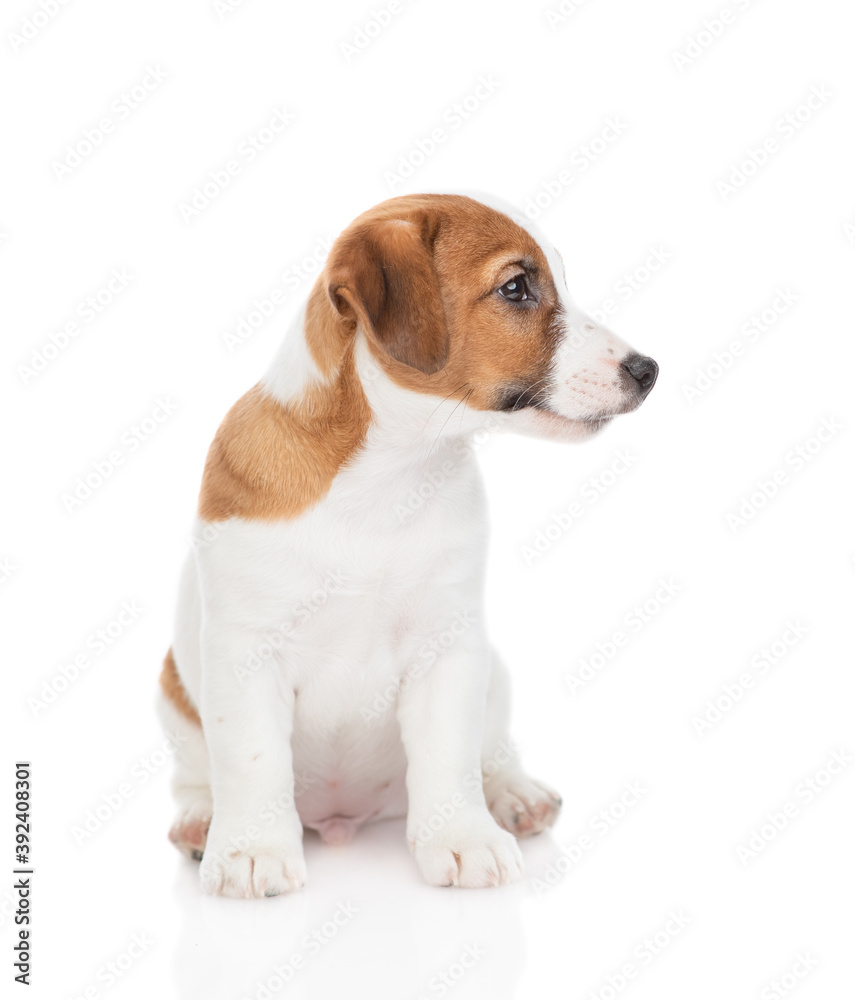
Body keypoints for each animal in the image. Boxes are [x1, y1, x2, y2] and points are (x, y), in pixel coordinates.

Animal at [157, 191, 660, 896]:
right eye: (516, 288)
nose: (648, 370)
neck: (389, 475)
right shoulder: (245, 653)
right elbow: (252, 760)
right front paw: (252, 849)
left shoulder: (448, 647)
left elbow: (449, 755)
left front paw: (464, 836)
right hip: (172, 691)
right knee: (195, 776)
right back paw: (202, 819)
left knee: (490, 753)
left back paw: (513, 794)